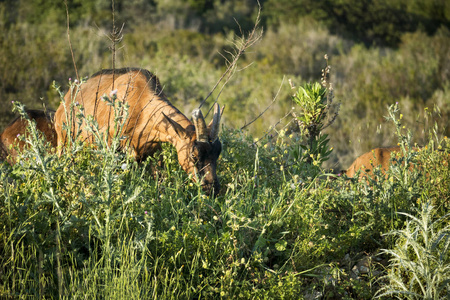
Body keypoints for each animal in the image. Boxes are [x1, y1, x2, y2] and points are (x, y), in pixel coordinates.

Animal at [54, 67, 223, 196]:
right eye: (194, 154)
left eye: (217, 152)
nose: (212, 189)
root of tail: (66, 99)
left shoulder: (153, 153)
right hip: (63, 144)